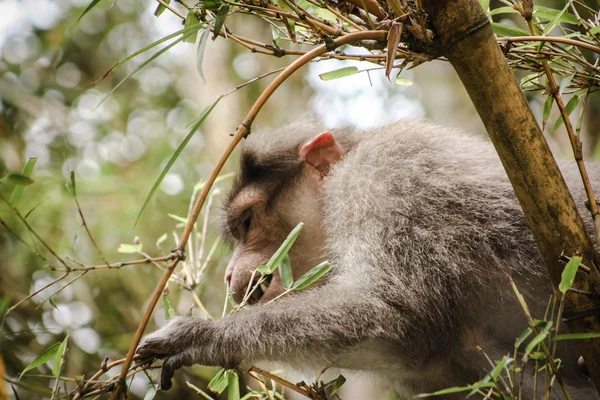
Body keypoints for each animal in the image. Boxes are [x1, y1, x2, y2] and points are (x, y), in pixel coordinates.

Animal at [137, 119, 600, 400]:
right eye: (236, 232)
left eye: (248, 222)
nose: (231, 272)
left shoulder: (385, 179)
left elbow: (396, 314)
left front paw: (202, 337)